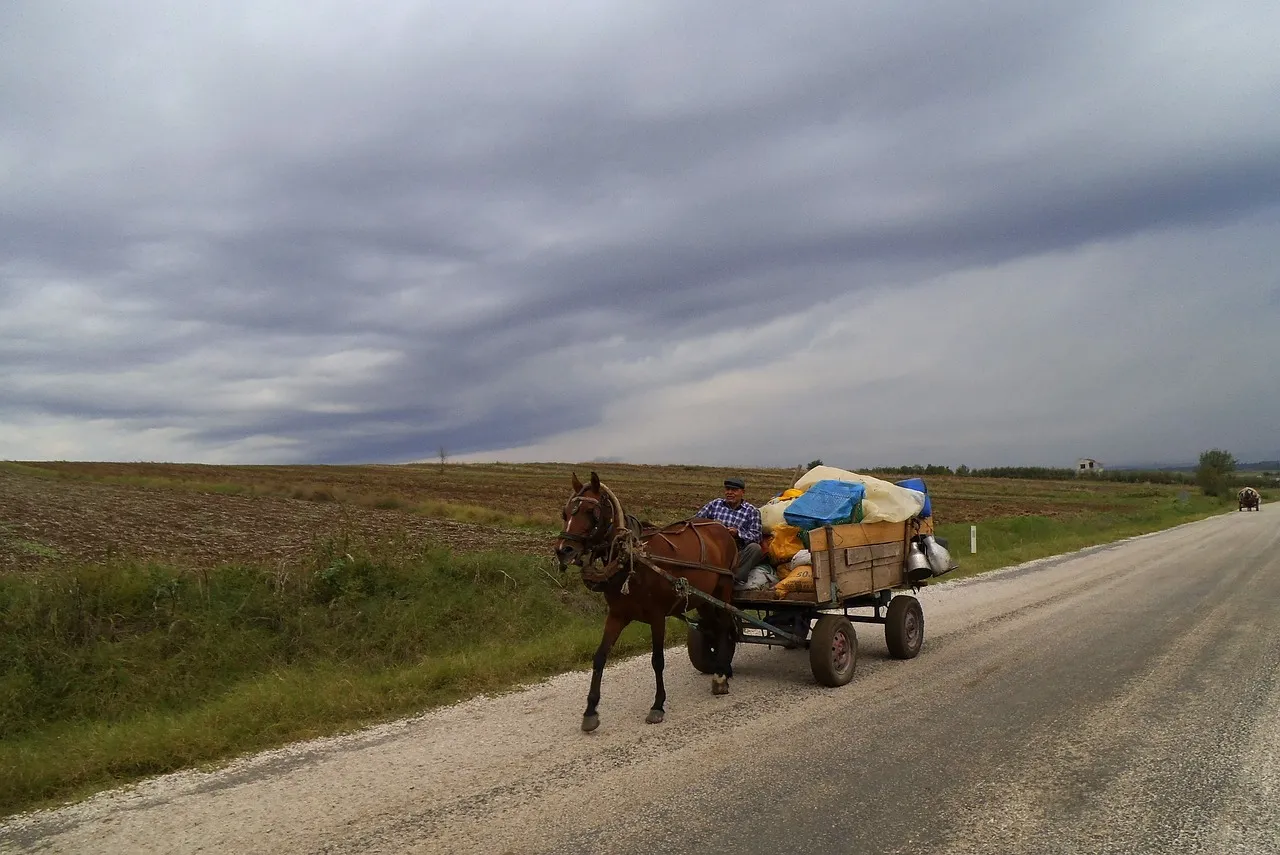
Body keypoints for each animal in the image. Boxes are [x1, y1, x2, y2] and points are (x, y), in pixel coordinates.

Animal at [552, 471, 742, 732]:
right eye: (565, 512)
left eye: (592, 513)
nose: (563, 550)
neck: (633, 557)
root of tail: (722, 528)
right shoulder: (617, 615)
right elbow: (599, 657)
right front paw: (590, 711)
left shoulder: (657, 616)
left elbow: (657, 660)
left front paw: (658, 705)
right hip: (703, 597)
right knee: (713, 627)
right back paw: (722, 667)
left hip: (723, 589)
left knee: (723, 626)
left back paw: (721, 677)